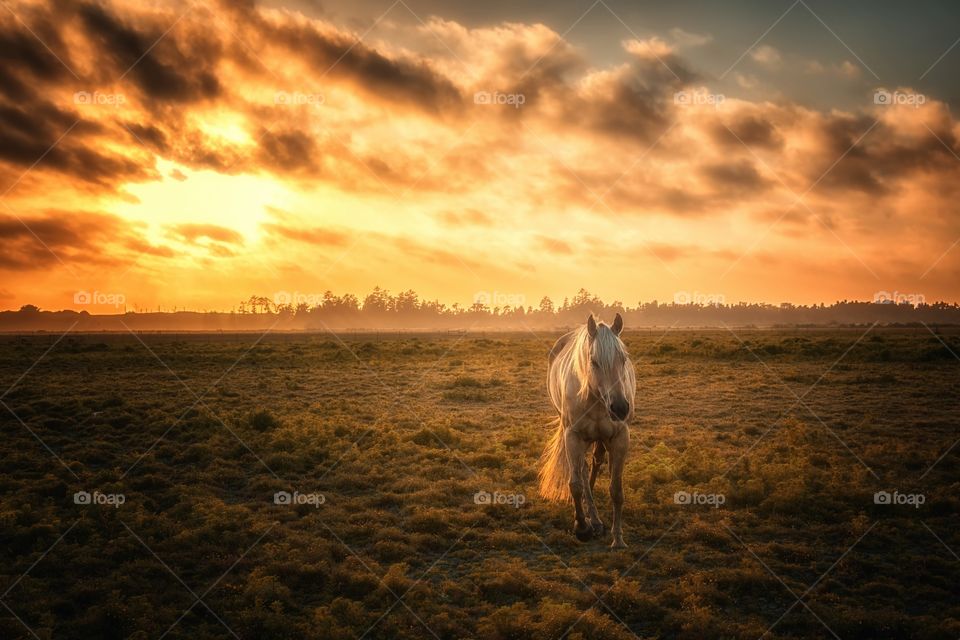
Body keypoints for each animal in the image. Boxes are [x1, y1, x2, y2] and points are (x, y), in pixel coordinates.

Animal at [540, 312, 636, 548]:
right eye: (594, 361)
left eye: (624, 359)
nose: (620, 407)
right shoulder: (573, 437)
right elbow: (575, 484)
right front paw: (582, 527)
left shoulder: (620, 438)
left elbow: (616, 490)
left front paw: (618, 539)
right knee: (582, 471)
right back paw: (592, 520)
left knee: (596, 462)